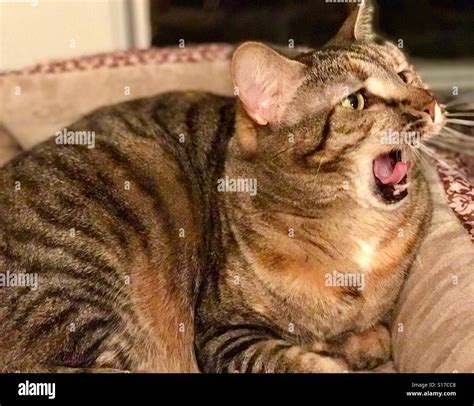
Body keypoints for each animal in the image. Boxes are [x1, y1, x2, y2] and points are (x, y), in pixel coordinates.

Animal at [0, 0, 444, 372]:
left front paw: (362, 341)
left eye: (404, 74)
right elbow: (303, 360)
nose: (431, 104)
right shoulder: (221, 333)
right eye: (356, 101)